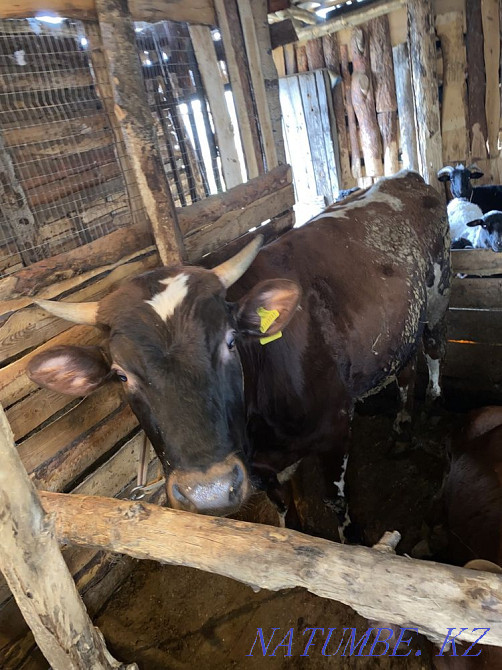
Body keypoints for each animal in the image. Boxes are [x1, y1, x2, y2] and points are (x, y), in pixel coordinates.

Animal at [27, 171, 450, 528]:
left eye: (231, 342)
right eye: (120, 374)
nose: (207, 491)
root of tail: (404, 177)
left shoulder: (336, 428)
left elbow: (336, 504)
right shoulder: (257, 470)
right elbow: (284, 508)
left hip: (436, 302)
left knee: (432, 350)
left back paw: (432, 400)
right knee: (405, 369)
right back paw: (401, 430)